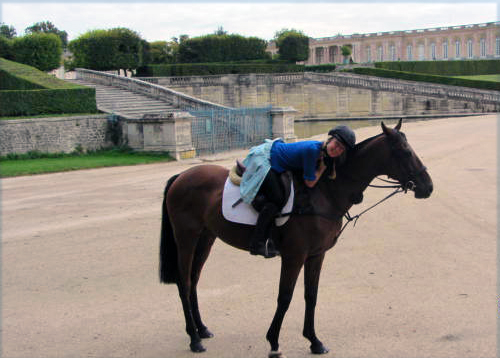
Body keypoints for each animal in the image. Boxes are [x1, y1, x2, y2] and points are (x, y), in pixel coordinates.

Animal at [160, 120, 434, 356]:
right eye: (405, 152)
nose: (428, 186)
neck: (324, 193)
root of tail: (181, 177)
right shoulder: (294, 255)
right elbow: (285, 297)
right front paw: (273, 341)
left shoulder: (316, 255)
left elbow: (310, 296)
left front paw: (314, 341)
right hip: (186, 237)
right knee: (184, 282)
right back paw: (194, 339)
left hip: (206, 238)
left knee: (194, 281)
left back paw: (201, 330)